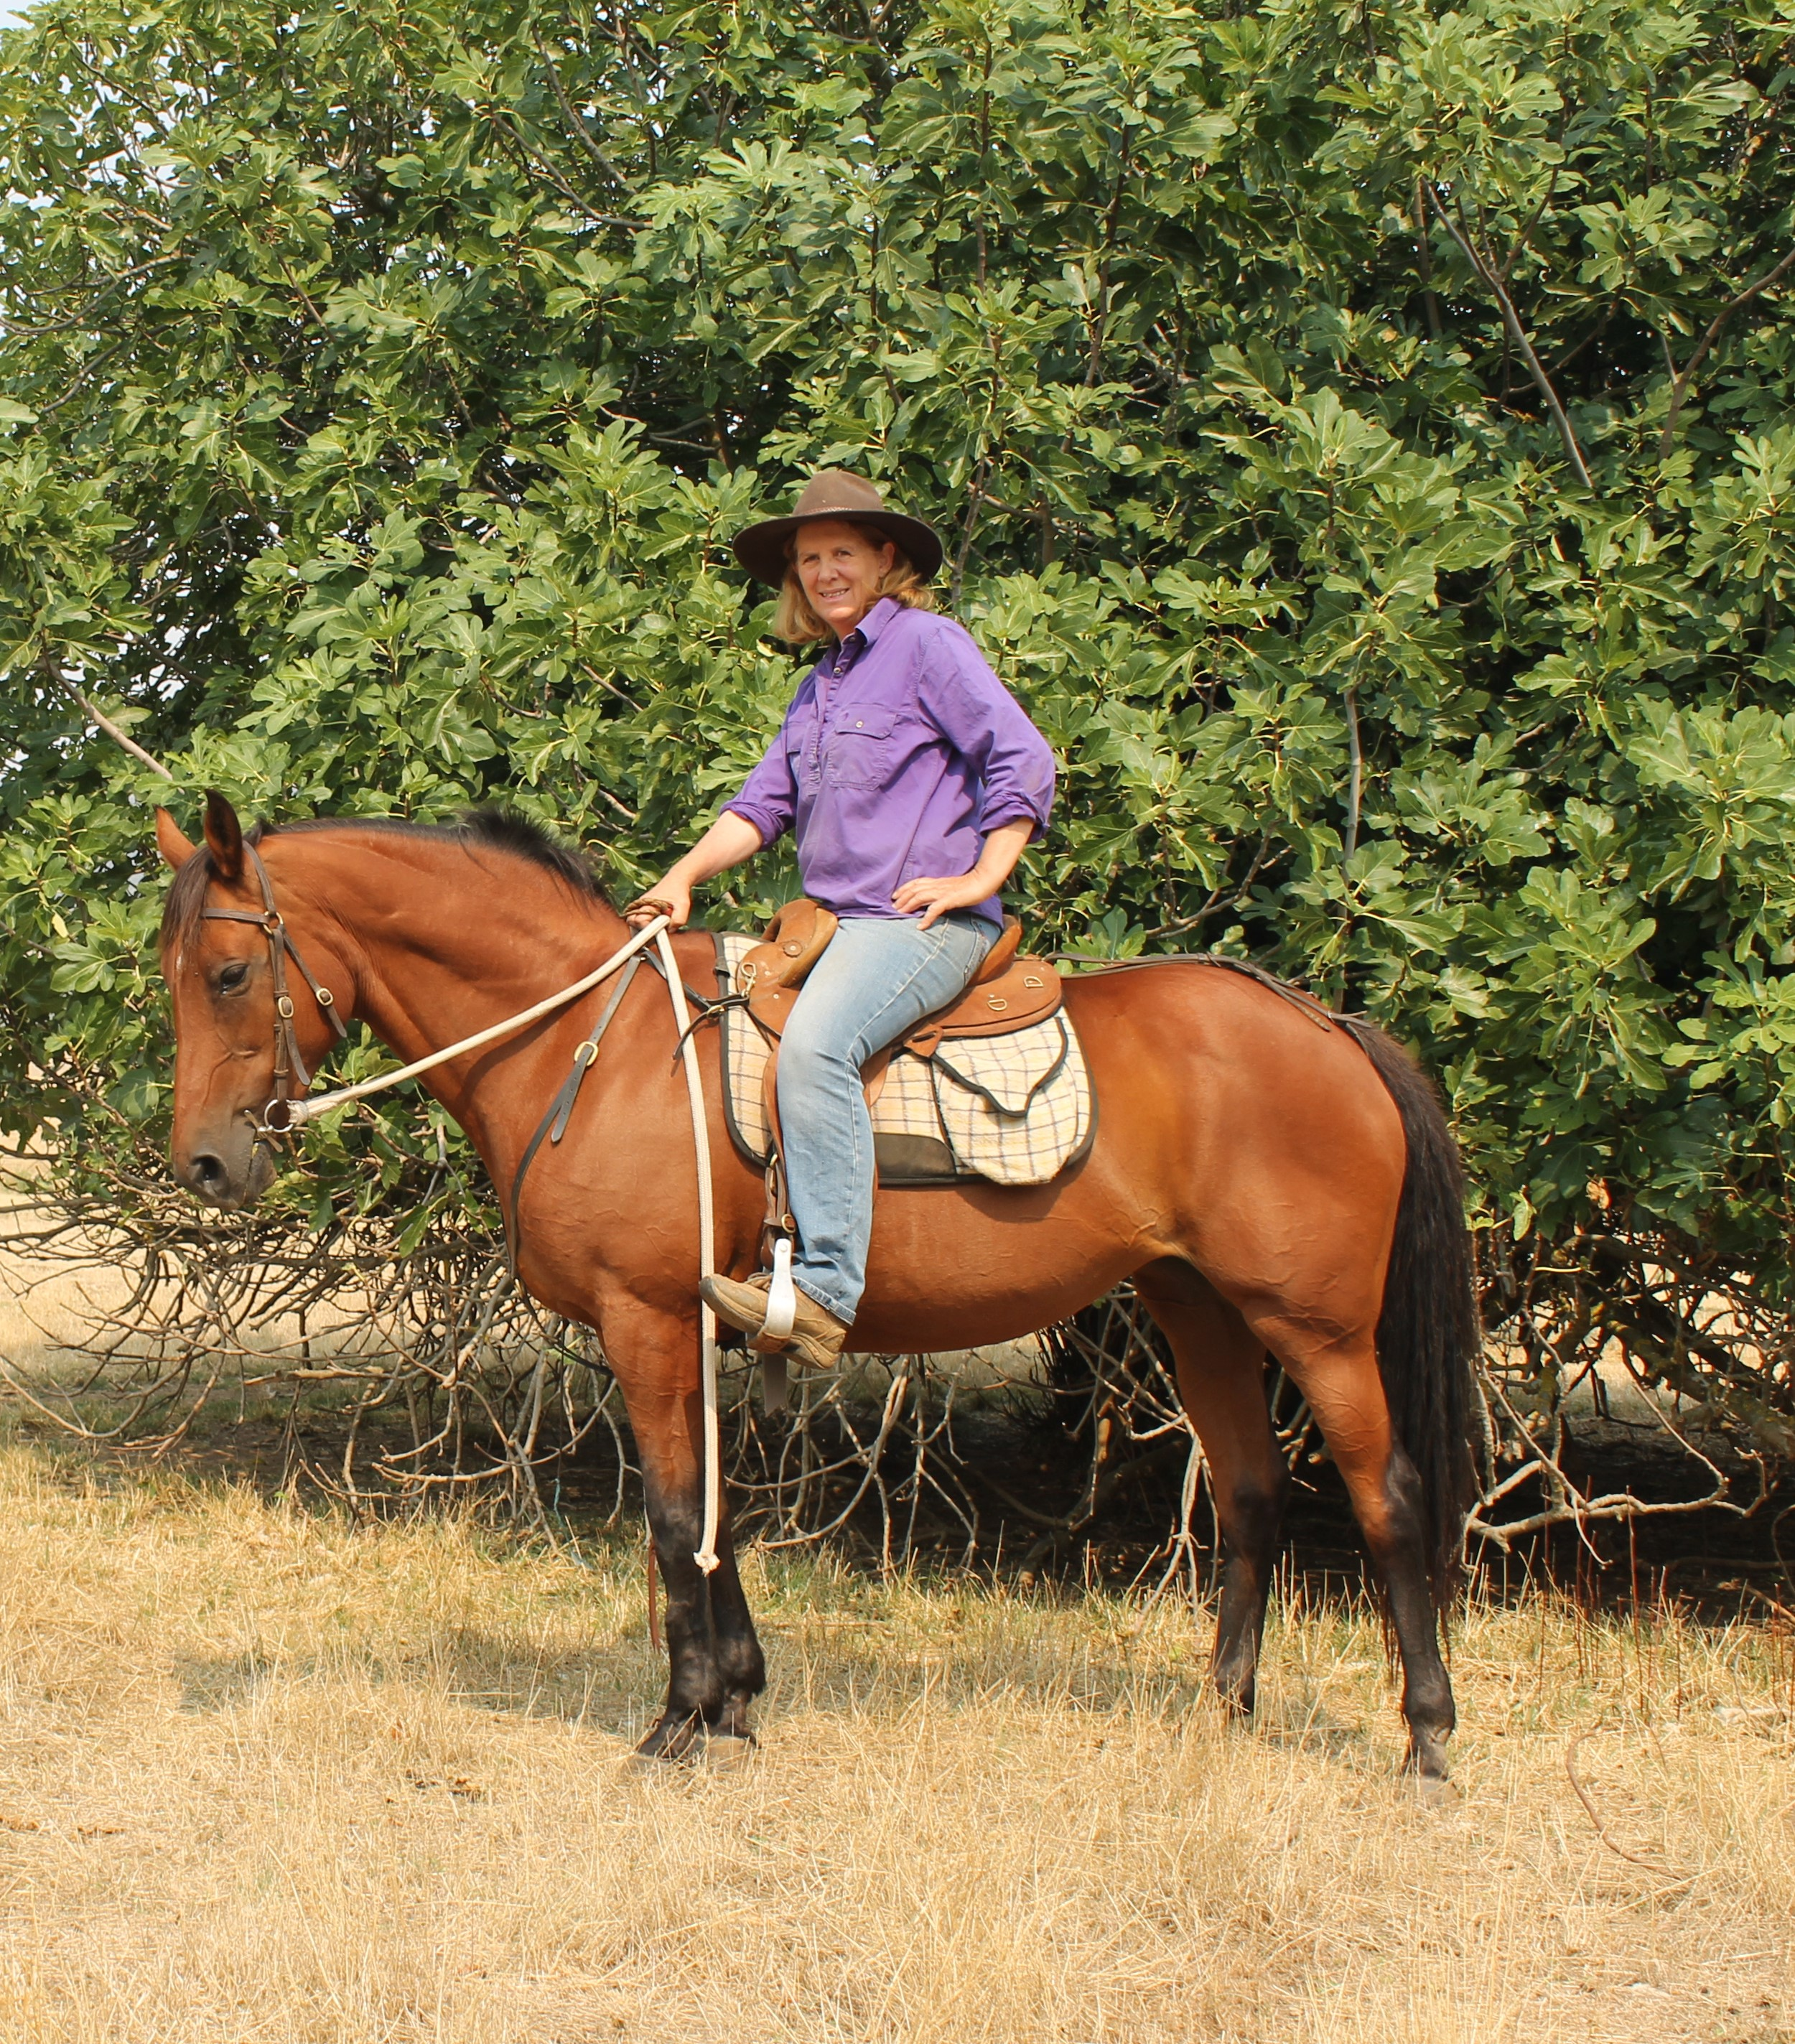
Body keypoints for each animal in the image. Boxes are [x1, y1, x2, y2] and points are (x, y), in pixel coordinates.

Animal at [154, 793, 1480, 1774]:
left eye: (226, 972)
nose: (205, 1161)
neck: (596, 1044)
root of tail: (1331, 1028)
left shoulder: (646, 1321)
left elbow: (674, 1514)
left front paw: (681, 1718)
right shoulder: (688, 1331)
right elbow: (715, 1512)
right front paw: (738, 1698)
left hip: (1318, 1330)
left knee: (1390, 1499)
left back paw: (1426, 1736)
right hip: (1197, 1308)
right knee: (1251, 1494)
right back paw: (1228, 1711)